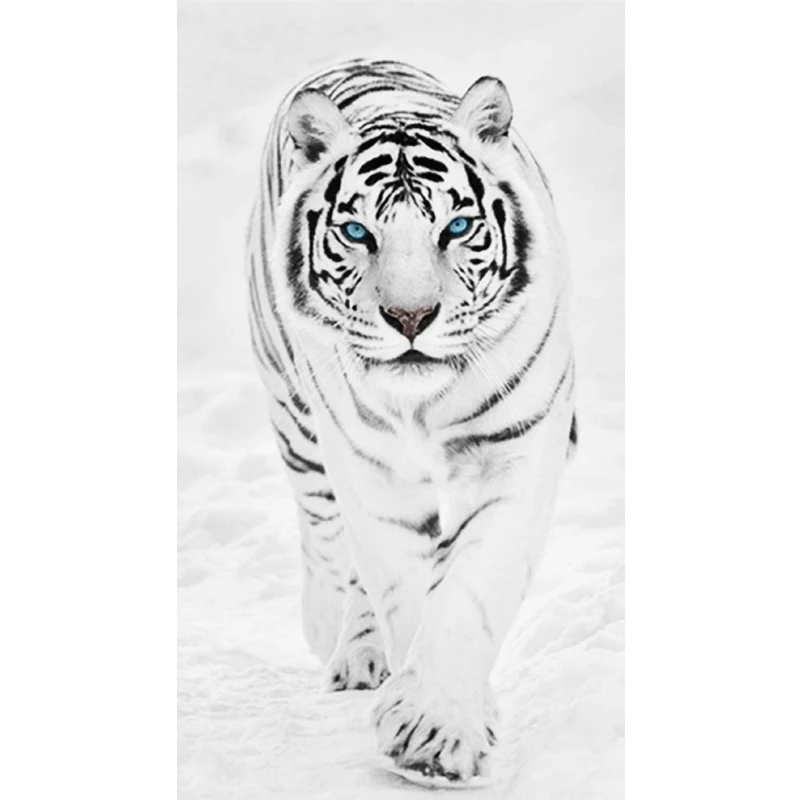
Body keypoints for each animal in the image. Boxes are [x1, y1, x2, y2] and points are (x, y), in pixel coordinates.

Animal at [246, 58, 577, 784]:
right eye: (357, 233)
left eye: (455, 229)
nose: (410, 318)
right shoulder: (371, 472)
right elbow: (400, 582)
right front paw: (432, 721)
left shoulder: (516, 450)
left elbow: (470, 587)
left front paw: (438, 730)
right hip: (297, 420)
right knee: (326, 536)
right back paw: (340, 639)